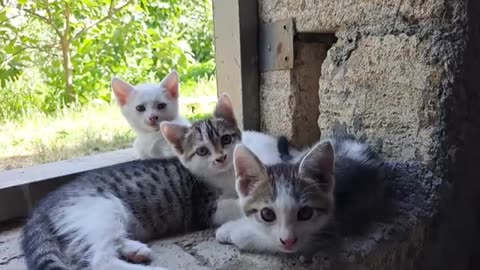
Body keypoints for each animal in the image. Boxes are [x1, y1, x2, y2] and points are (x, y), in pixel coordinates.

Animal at [216, 135, 384, 255]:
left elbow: (267, 240)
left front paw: (233, 230)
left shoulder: (329, 232)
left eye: (305, 213)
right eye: (267, 214)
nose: (289, 241)